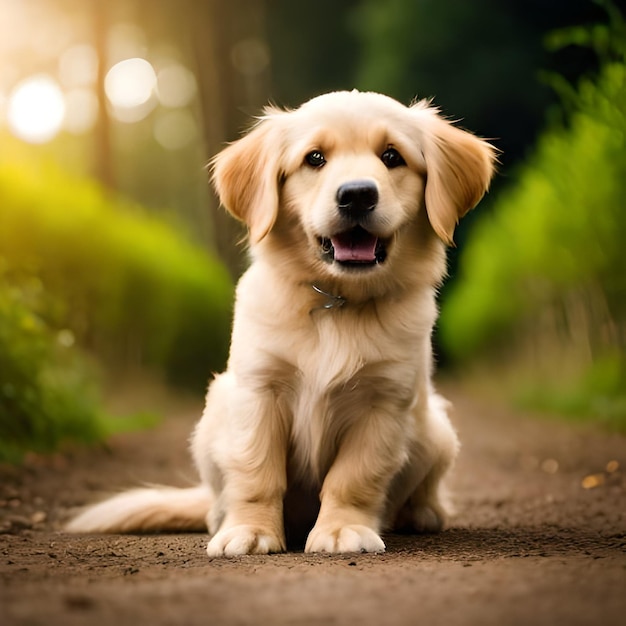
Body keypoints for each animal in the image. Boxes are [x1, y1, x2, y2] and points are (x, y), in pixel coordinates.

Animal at [66, 90, 494, 552]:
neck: (337, 303)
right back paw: (223, 518)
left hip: (437, 430)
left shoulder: (383, 401)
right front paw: (250, 531)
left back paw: (423, 513)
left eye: (392, 156)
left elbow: (354, 476)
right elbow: (256, 471)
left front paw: (342, 529)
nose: (357, 194)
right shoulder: (259, 390)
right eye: (315, 158)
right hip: (216, 409)